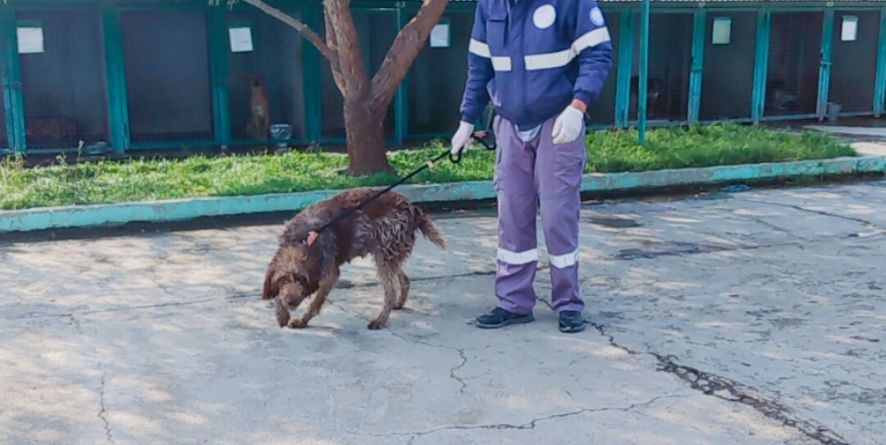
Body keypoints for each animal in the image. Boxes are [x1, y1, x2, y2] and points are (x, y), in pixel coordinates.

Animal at [262, 188, 444, 330]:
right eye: (283, 280)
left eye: (302, 279)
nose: (291, 302)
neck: (303, 240)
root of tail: (411, 207)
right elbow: (278, 293)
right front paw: (281, 313)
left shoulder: (331, 273)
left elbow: (316, 302)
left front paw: (302, 320)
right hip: (387, 254)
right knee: (404, 280)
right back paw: (398, 303)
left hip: (385, 255)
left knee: (390, 291)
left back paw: (381, 320)